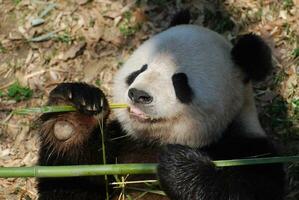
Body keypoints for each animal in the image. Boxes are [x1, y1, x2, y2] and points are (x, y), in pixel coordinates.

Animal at [37, 14, 286, 199]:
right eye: (140, 70)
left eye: (180, 82)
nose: (139, 94)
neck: (154, 142)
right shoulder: (120, 148)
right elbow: (69, 184)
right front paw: (72, 117)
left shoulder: (251, 152)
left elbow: (242, 190)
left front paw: (178, 165)